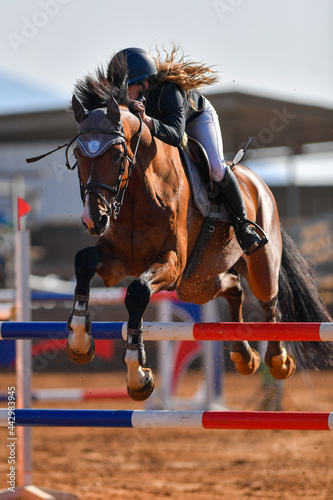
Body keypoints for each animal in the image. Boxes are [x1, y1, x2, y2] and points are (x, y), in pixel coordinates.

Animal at [65, 59, 332, 402]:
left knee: (269, 302)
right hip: (196, 284)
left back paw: (278, 359)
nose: (93, 220)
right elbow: (84, 261)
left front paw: (138, 374)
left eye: (117, 154)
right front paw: (79, 340)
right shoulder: (119, 260)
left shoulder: (172, 262)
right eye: (77, 155)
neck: (139, 192)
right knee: (233, 287)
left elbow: (137, 293)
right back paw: (244, 355)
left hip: (257, 266)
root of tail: (255, 179)